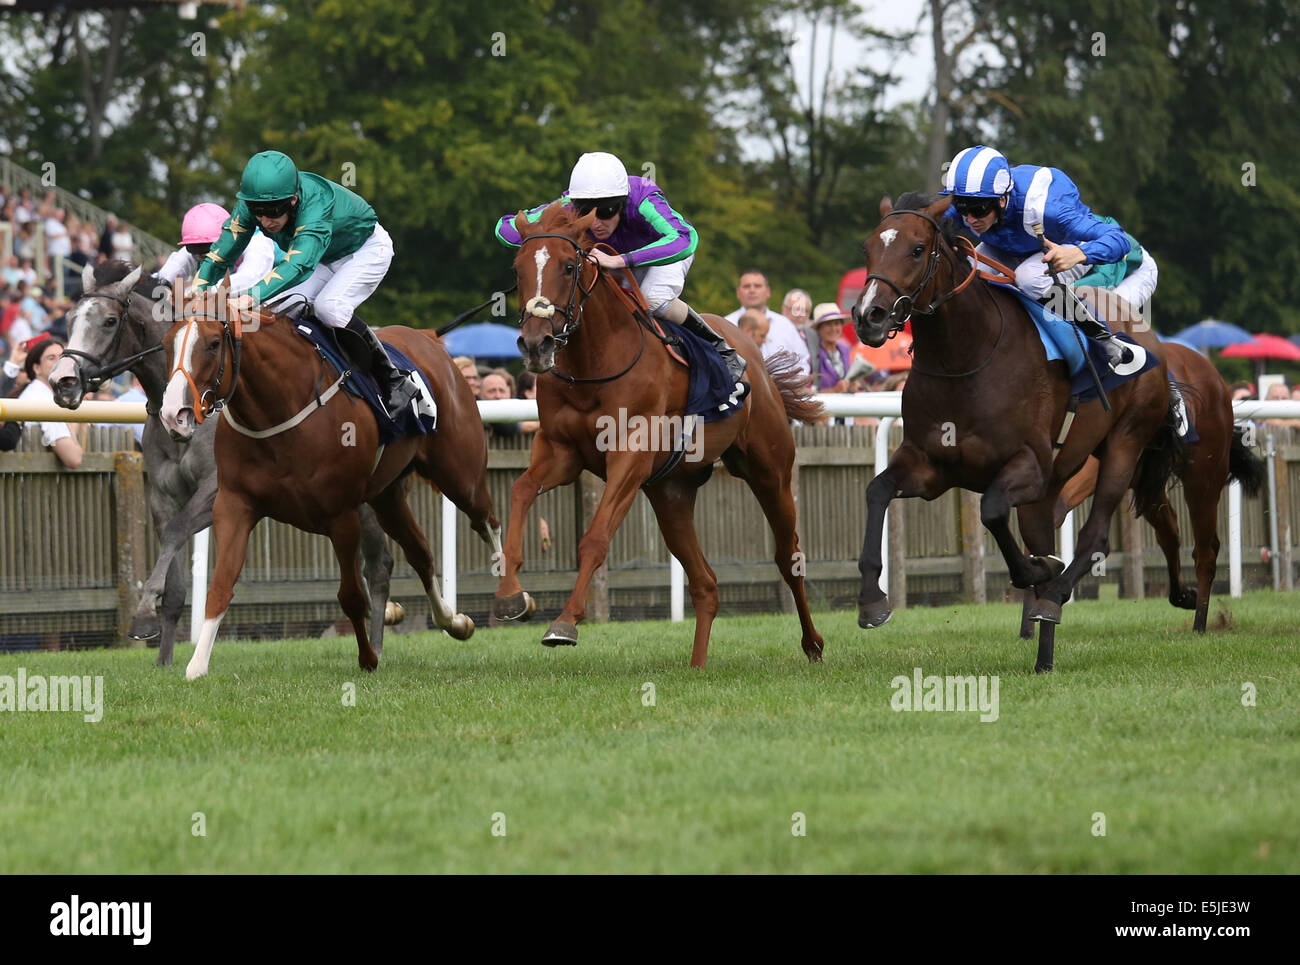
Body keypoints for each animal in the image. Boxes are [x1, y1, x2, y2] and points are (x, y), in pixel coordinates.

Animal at [50, 264, 403, 671]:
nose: (62, 382)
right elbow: (174, 572)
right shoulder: (163, 494)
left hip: (362, 497)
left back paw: (376, 646)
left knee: (379, 564)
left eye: (109, 321)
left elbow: (177, 531)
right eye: (70, 319)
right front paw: (164, 657)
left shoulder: (215, 488)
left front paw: (142, 615)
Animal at [153, 287, 496, 681]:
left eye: (212, 344)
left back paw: (514, 595)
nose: (173, 415)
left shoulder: (341, 515)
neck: (279, 411)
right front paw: (196, 666)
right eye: (166, 343)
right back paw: (454, 621)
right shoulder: (234, 505)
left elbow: (351, 596)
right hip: (387, 496)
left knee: (486, 519)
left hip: (460, 474)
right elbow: (221, 585)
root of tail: (428, 336)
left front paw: (368, 658)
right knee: (421, 552)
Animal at [491, 201, 826, 671]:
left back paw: (813, 644)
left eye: (569, 265)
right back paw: (697, 666)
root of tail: (755, 357)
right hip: (672, 493)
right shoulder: (559, 451)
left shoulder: (630, 454)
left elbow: (595, 538)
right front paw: (510, 597)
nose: (536, 345)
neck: (593, 363)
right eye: (518, 269)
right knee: (706, 582)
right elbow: (520, 491)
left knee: (787, 556)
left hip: (770, 472)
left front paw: (565, 622)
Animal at [852, 192, 1180, 671]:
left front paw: (1037, 571)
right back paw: (1044, 654)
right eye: (868, 248)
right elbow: (876, 491)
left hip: (1124, 443)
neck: (965, 356)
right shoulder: (929, 467)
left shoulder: (1029, 464)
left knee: (1095, 535)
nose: (868, 316)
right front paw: (872, 600)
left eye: (916, 249)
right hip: (1050, 488)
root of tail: (1150, 336)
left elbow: (991, 511)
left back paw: (1054, 592)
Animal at [1019, 335, 1263, 639]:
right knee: (1170, 532)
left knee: (1206, 549)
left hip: (1203, 475)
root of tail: (1213, 374)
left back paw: (1199, 624)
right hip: (1150, 482)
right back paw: (1183, 596)